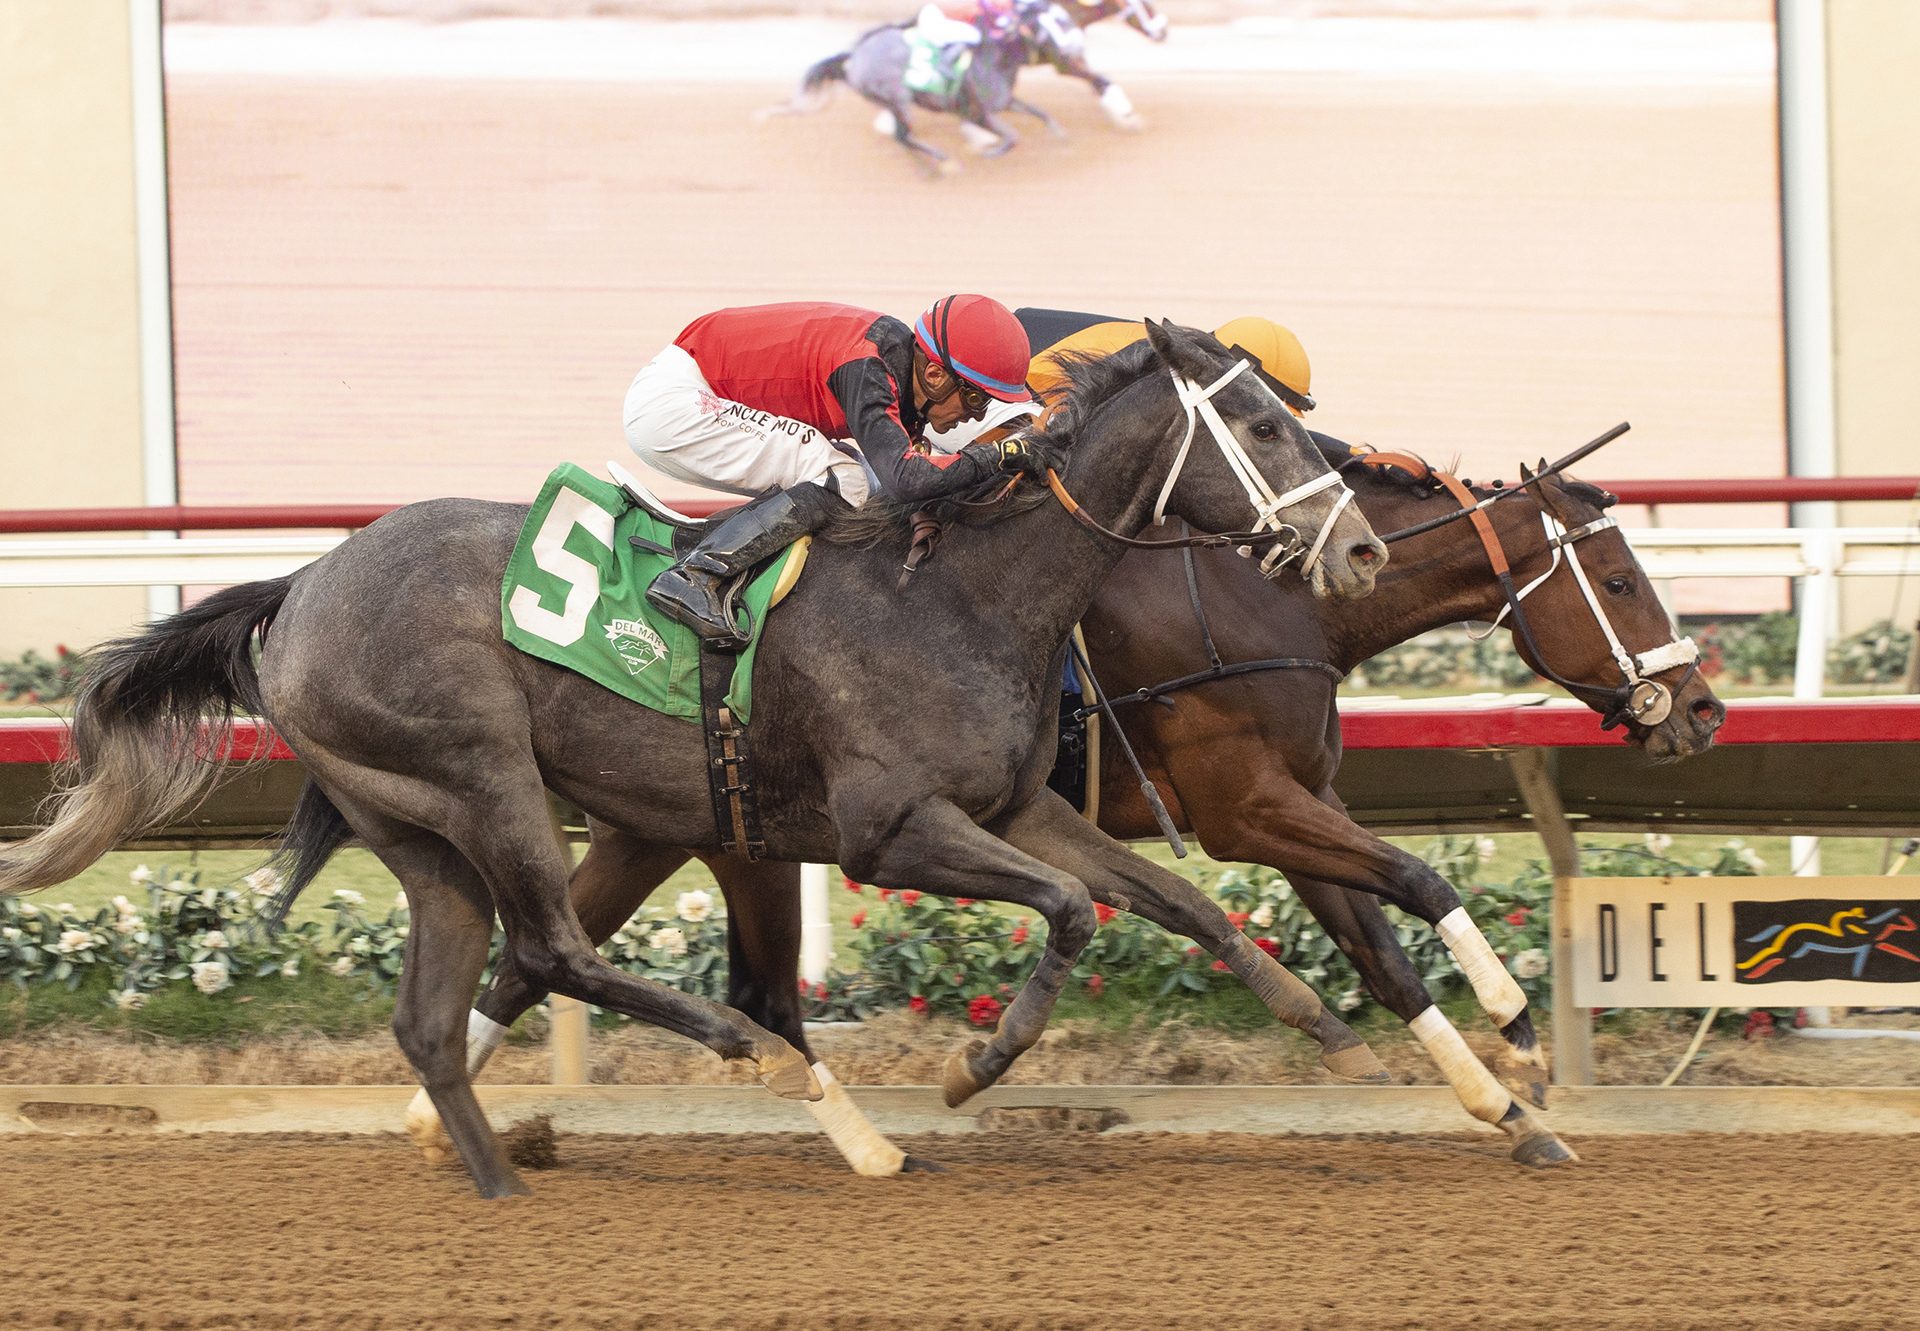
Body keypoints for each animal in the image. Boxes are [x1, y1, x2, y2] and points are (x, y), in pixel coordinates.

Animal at [0, 322, 1382, 1190]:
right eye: (1258, 422)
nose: (1362, 548)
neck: (966, 590)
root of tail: (299, 584)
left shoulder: (1010, 806)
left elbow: (1176, 901)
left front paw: (1339, 1028)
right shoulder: (893, 829)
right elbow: (1073, 910)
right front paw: (974, 1065)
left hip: (417, 820)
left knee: (455, 998)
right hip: (483, 775)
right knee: (558, 948)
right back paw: (761, 1067)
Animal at [420, 455, 1728, 1175]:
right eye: (1620, 579)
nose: (1704, 708)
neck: (1271, 597)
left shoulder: (1295, 802)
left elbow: (1382, 955)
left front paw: (1505, 1104)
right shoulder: (1248, 807)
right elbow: (1421, 882)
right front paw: (1515, 1031)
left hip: (679, 823)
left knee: (545, 954)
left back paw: (450, 1123)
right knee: (556, 950)